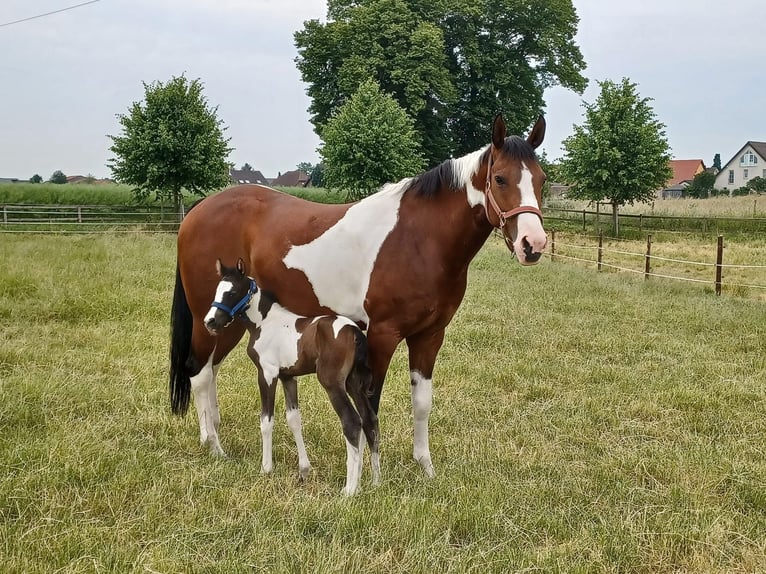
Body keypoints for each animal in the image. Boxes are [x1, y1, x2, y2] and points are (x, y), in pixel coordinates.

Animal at [207, 258, 380, 498]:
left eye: (231, 292)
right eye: (217, 290)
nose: (210, 322)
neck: (265, 323)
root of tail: (353, 331)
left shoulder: (267, 373)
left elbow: (266, 420)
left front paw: (266, 468)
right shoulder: (288, 377)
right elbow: (294, 420)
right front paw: (304, 470)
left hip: (333, 384)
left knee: (352, 421)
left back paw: (350, 489)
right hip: (354, 383)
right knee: (369, 419)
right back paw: (375, 481)